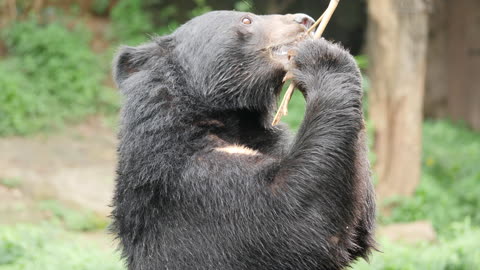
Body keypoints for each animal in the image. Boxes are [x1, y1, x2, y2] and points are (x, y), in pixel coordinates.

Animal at [111, 10, 376, 270]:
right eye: (246, 19)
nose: (305, 20)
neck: (231, 120)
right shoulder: (187, 181)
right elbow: (293, 216)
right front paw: (321, 55)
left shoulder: (269, 143)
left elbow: (358, 224)